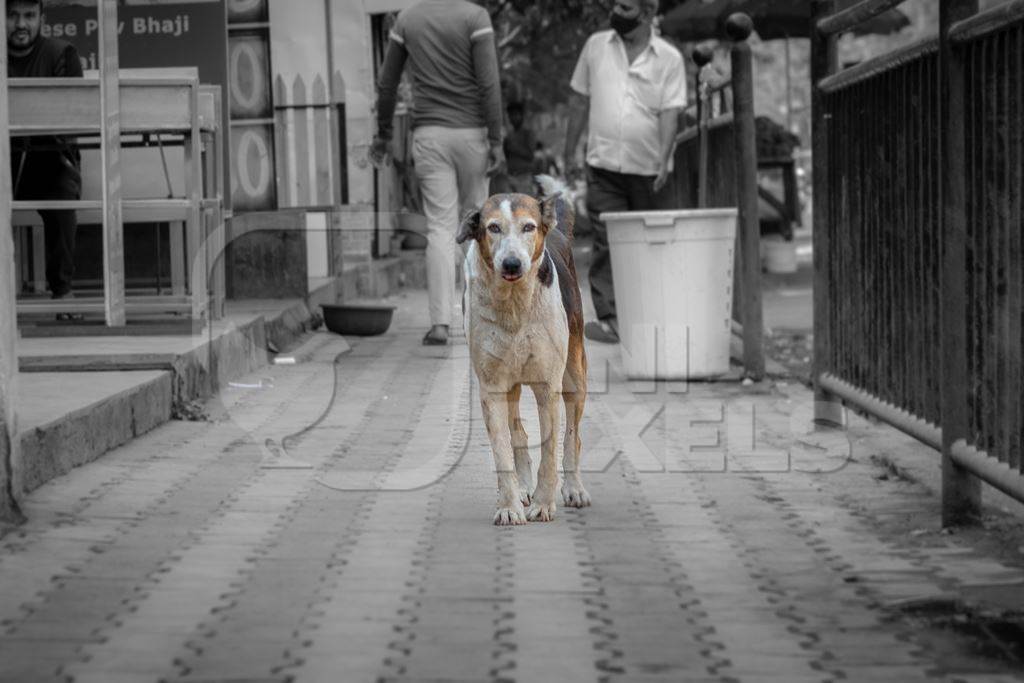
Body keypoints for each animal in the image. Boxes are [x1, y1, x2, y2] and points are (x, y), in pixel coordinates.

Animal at [458, 175, 593, 524]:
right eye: (493, 227)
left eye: (528, 227)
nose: (511, 263)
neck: (513, 303)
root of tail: (556, 230)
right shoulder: (491, 387)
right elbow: (502, 449)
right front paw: (509, 505)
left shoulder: (548, 385)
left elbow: (550, 450)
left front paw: (544, 504)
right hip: (512, 384)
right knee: (517, 432)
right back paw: (521, 489)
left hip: (574, 377)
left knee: (573, 436)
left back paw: (575, 488)